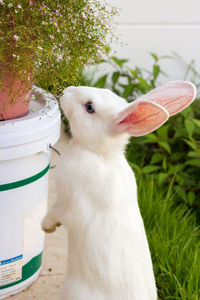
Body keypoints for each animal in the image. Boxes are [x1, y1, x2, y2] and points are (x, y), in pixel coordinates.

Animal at [41, 81, 196, 300]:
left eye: (90, 107)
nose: (66, 91)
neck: (99, 154)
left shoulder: (69, 203)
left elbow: (55, 212)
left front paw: (46, 227)